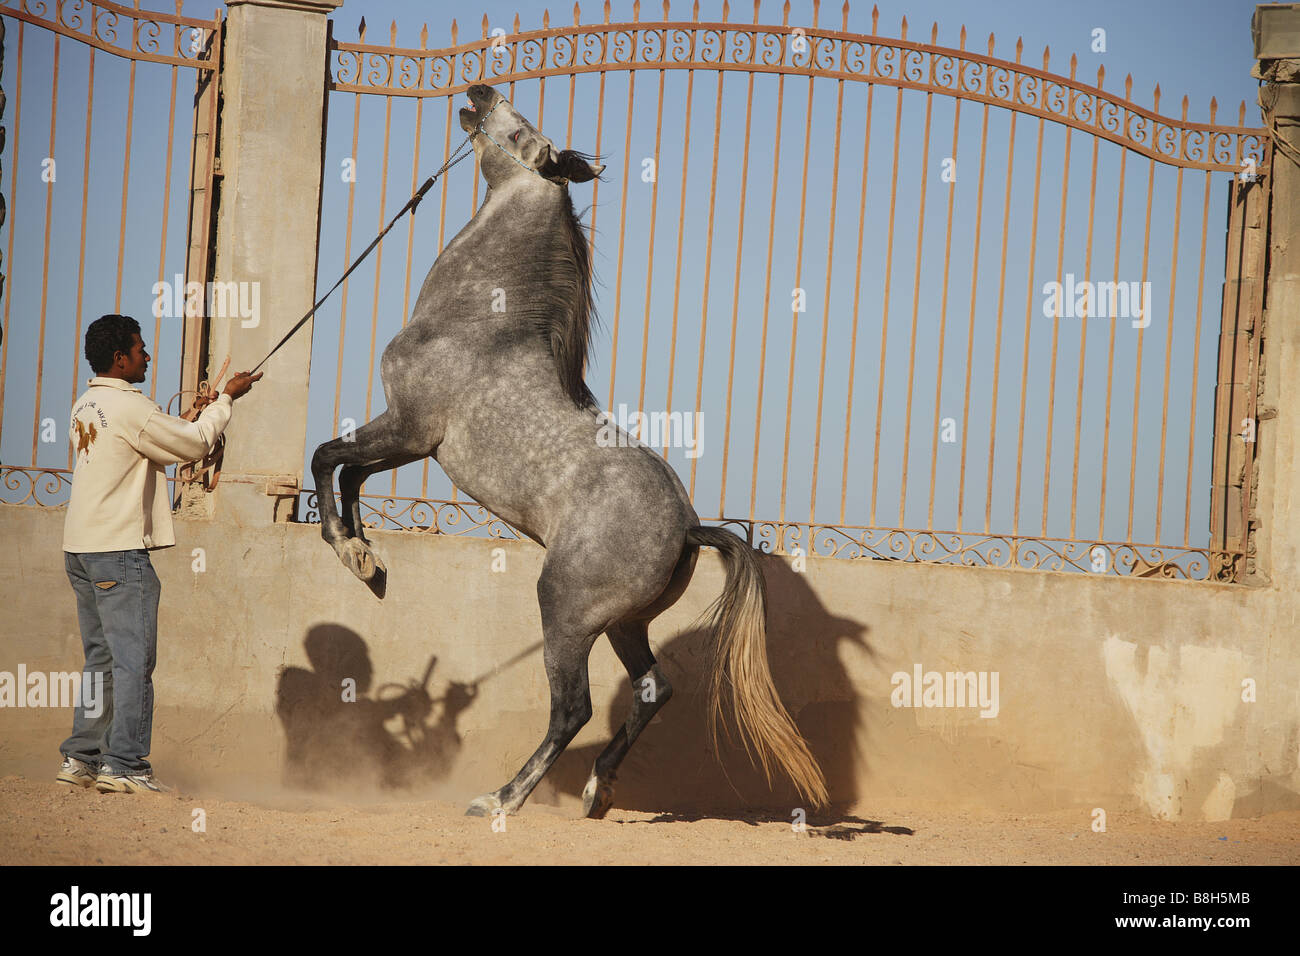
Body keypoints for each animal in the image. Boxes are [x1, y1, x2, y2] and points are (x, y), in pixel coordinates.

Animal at [309, 82, 826, 816]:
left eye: (521, 127)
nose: (481, 90)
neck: (481, 322)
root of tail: (689, 527)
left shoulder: (408, 426)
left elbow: (329, 457)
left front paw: (348, 549)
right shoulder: (414, 442)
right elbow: (352, 474)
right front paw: (365, 559)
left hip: (565, 612)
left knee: (573, 709)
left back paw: (502, 799)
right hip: (622, 624)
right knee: (653, 688)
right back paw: (595, 790)